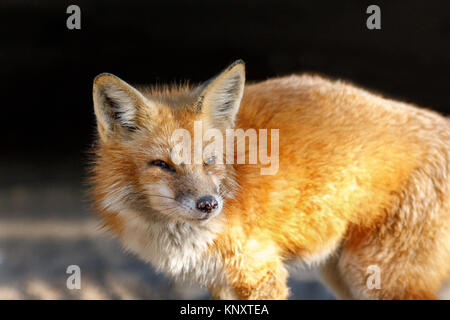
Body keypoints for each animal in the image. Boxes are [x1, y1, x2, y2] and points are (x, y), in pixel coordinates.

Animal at [90, 60, 450, 300]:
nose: (208, 205)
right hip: (343, 274)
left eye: (210, 161)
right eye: (162, 165)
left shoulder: (261, 273)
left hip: (375, 274)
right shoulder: (220, 280)